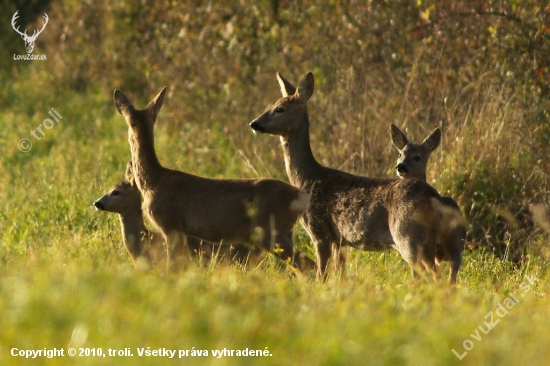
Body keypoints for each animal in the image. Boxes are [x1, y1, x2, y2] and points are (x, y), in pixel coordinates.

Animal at [113, 86, 314, 272]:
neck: (154, 181)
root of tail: (300, 196)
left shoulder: (170, 224)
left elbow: (173, 265)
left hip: (272, 231)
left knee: (306, 265)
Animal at [250, 73, 448, 282]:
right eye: (273, 104)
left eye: (279, 109)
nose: (254, 124)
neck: (307, 178)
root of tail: (433, 196)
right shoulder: (340, 241)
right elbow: (339, 274)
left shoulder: (319, 230)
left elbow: (322, 273)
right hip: (427, 239)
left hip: (407, 234)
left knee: (434, 273)